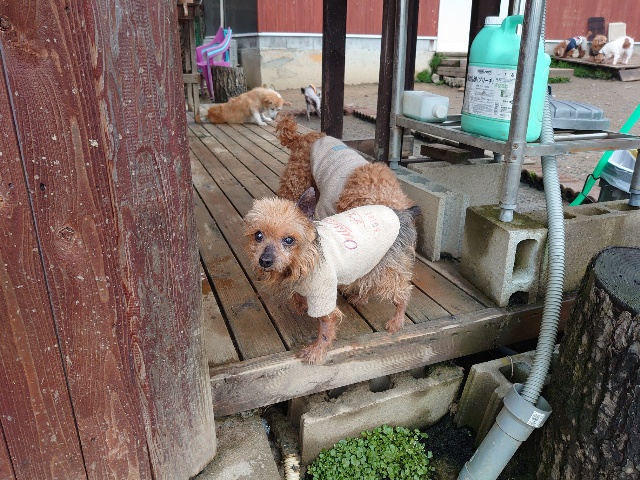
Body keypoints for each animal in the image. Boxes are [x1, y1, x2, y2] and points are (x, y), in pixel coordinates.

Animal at [244, 187, 418, 363]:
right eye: (258, 235)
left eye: (289, 240)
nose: (265, 260)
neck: (303, 259)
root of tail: (403, 213)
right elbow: (299, 297)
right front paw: (301, 304)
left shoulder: (323, 294)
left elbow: (326, 327)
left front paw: (317, 350)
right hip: (372, 260)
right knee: (369, 281)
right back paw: (361, 298)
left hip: (387, 267)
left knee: (402, 292)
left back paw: (397, 320)